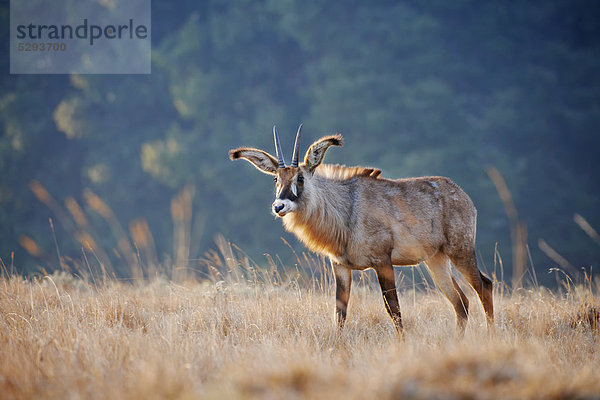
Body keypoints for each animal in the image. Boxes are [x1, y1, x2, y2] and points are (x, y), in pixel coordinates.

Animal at [229, 125, 492, 334]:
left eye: (300, 178)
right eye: (276, 179)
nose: (279, 206)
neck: (347, 207)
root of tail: (462, 195)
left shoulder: (383, 261)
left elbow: (393, 308)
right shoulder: (341, 266)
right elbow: (340, 312)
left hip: (460, 252)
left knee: (483, 286)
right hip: (436, 260)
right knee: (461, 302)